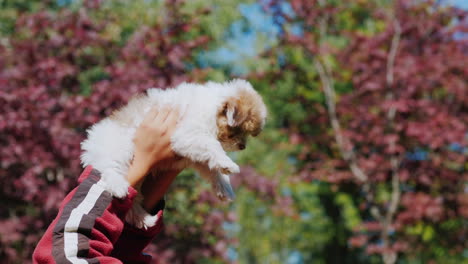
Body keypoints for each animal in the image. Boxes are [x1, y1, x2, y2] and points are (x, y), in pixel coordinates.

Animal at [80, 78, 266, 227]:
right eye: (238, 131)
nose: (243, 146)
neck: (212, 109)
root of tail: (90, 145)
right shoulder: (188, 135)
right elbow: (213, 146)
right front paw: (229, 164)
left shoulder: (193, 154)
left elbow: (213, 169)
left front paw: (225, 188)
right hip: (118, 149)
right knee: (110, 169)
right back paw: (119, 187)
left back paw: (146, 220)